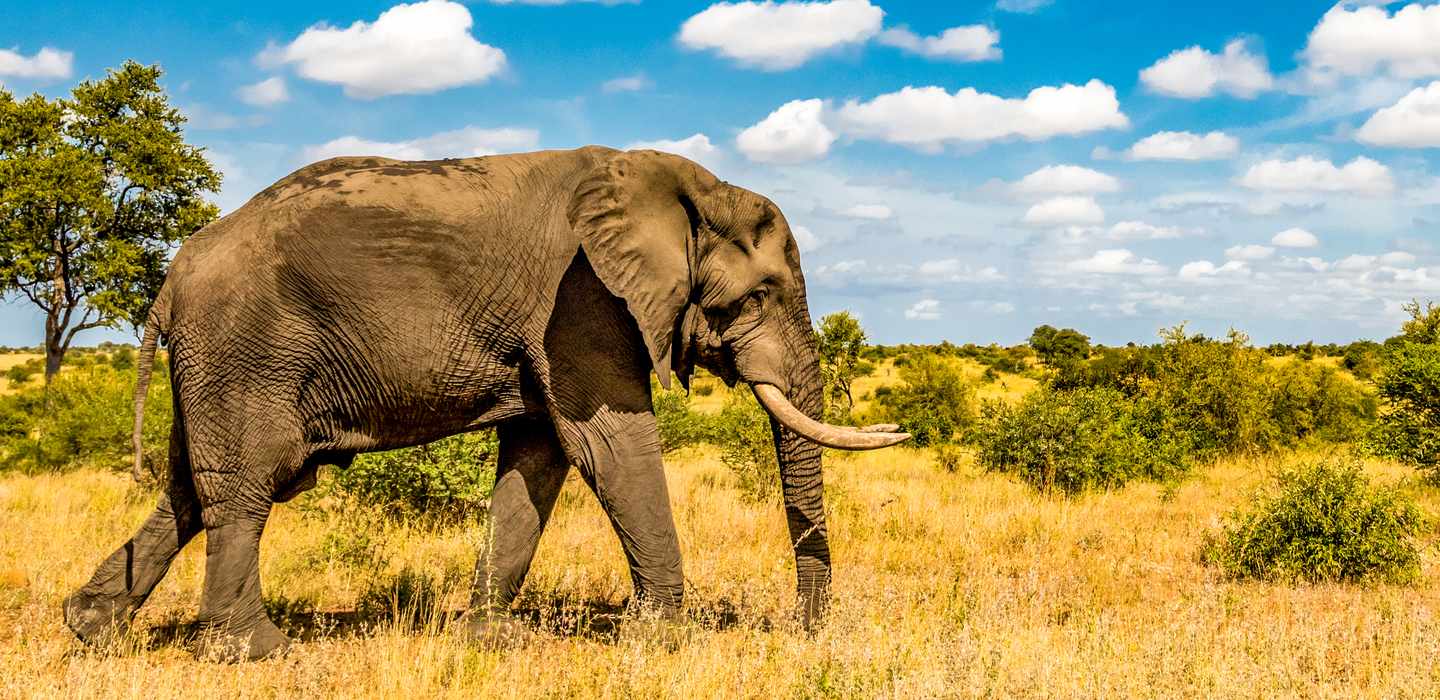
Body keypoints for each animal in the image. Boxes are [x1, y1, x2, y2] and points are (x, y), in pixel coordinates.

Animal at [64, 144, 910, 659]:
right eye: (760, 295)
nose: (803, 631)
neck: (684, 186)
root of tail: (173, 277)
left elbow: (538, 461)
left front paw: (489, 640)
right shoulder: (583, 303)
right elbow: (611, 447)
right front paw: (660, 639)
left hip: (215, 361)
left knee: (189, 489)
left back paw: (91, 630)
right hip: (245, 348)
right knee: (246, 488)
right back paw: (258, 652)